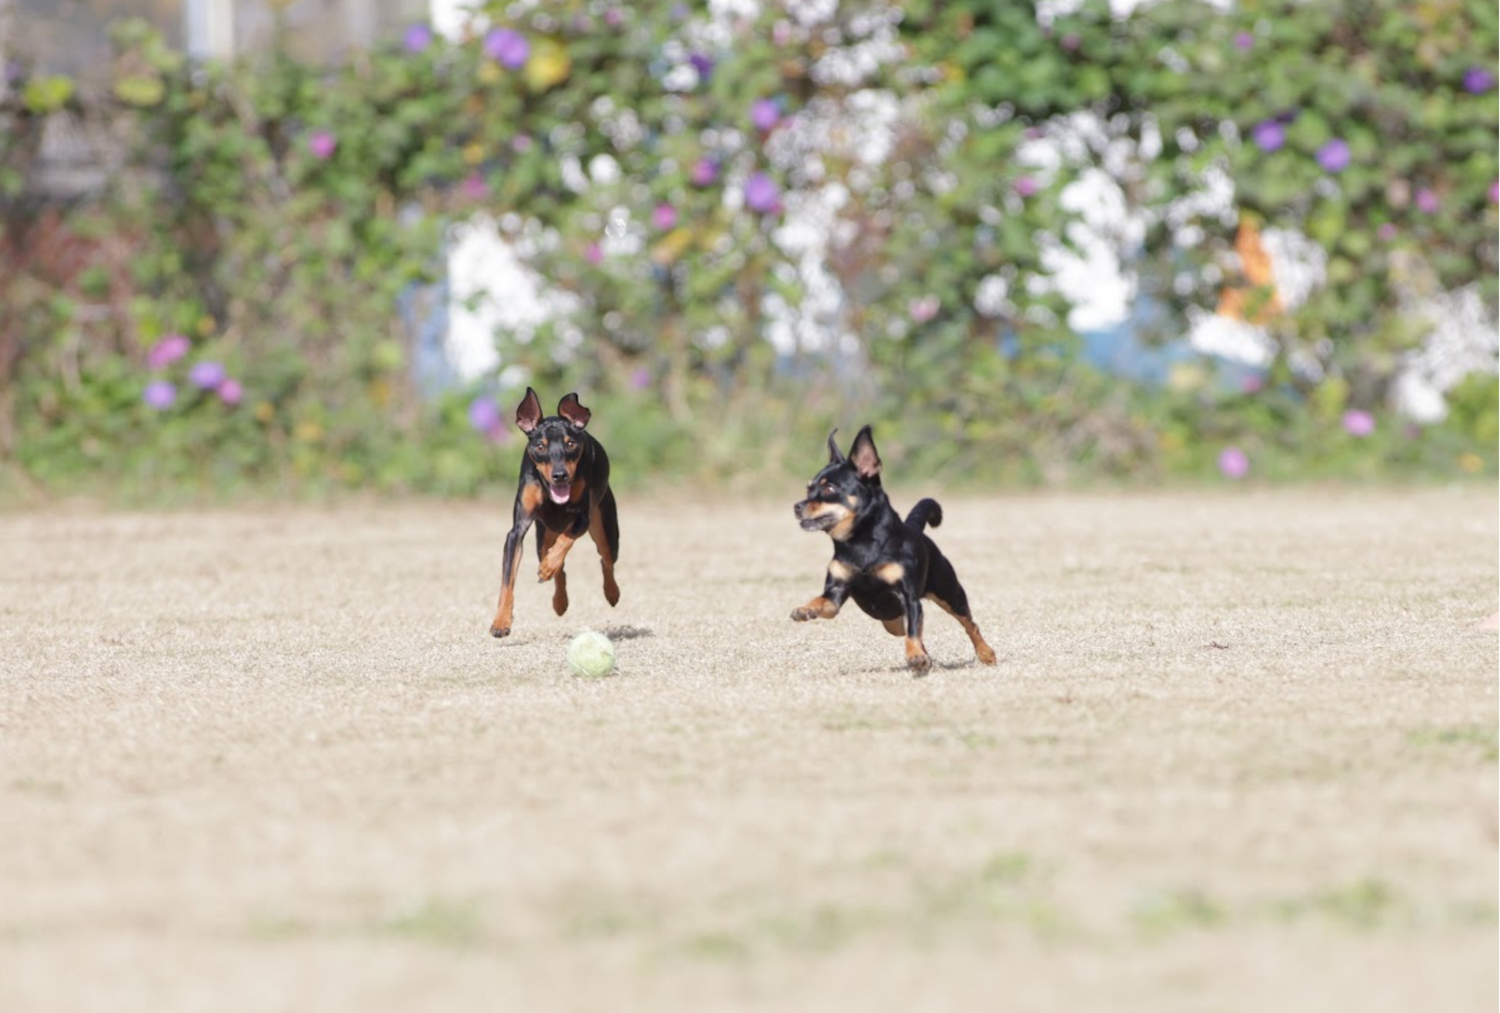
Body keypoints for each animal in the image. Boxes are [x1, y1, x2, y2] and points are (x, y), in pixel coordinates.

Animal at [486, 390, 615, 642]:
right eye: (540, 446)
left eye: (571, 444)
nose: (560, 476)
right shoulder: (517, 531)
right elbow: (507, 582)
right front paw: (501, 622)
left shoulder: (583, 518)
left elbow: (566, 539)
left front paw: (549, 565)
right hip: (542, 536)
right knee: (559, 569)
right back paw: (559, 602)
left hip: (604, 526)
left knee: (606, 559)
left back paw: (612, 593)